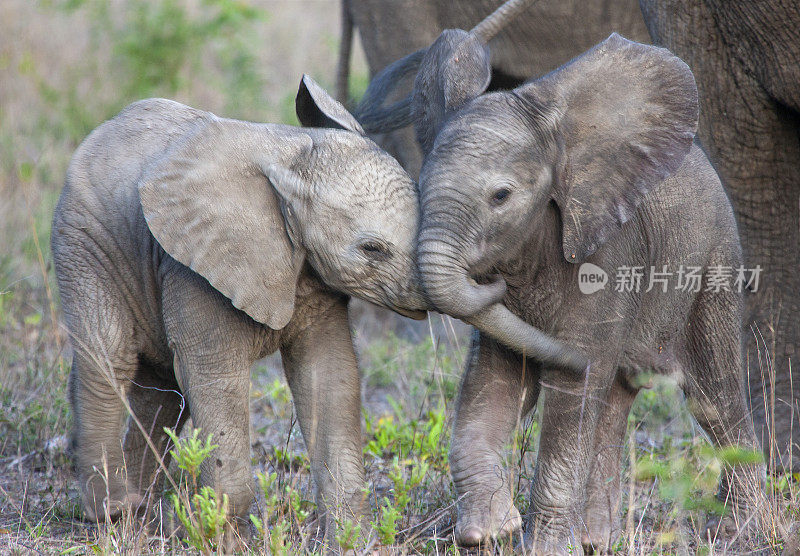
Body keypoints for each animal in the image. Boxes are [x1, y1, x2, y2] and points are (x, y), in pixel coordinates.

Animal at [51, 76, 432, 544]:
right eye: (372, 249)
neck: (293, 157)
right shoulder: (195, 264)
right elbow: (216, 378)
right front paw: (224, 539)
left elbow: (327, 376)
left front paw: (350, 539)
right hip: (84, 239)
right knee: (110, 359)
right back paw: (113, 514)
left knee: (160, 388)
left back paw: (140, 516)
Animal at [360, 33, 764, 552]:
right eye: (420, 186)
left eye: (501, 197)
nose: (486, 279)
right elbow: (493, 383)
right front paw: (490, 532)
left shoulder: (609, 256)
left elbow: (573, 391)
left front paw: (542, 547)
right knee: (614, 400)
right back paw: (597, 541)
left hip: (714, 263)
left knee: (714, 397)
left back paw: (746, 529)